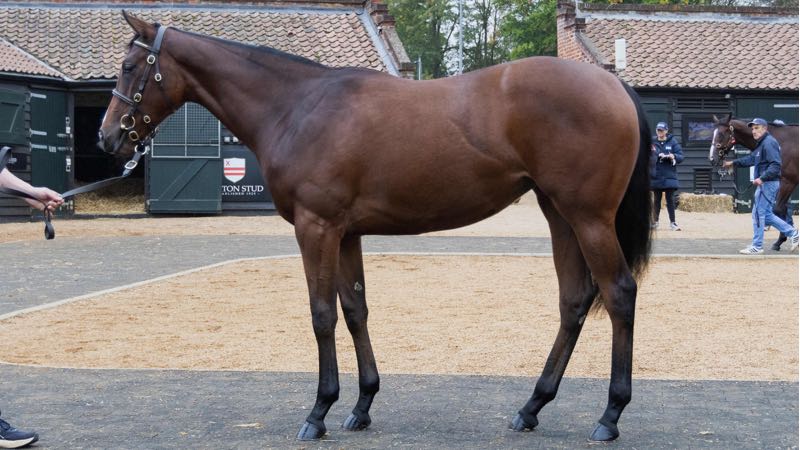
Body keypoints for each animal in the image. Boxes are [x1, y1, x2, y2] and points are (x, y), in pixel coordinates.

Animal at [98, 11, 653, 442]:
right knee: (574, 300)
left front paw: (319, 411)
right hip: (558, 213)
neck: (297, 107)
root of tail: (612, 83)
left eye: (128, 67)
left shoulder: (316, 228)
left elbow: (322, 314)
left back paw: (609, 415)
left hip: (587, 217)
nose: (107, 139)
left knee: (619, 293)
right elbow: (355, 310)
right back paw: (531, 407)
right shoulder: (345, 233)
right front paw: (361, 406)